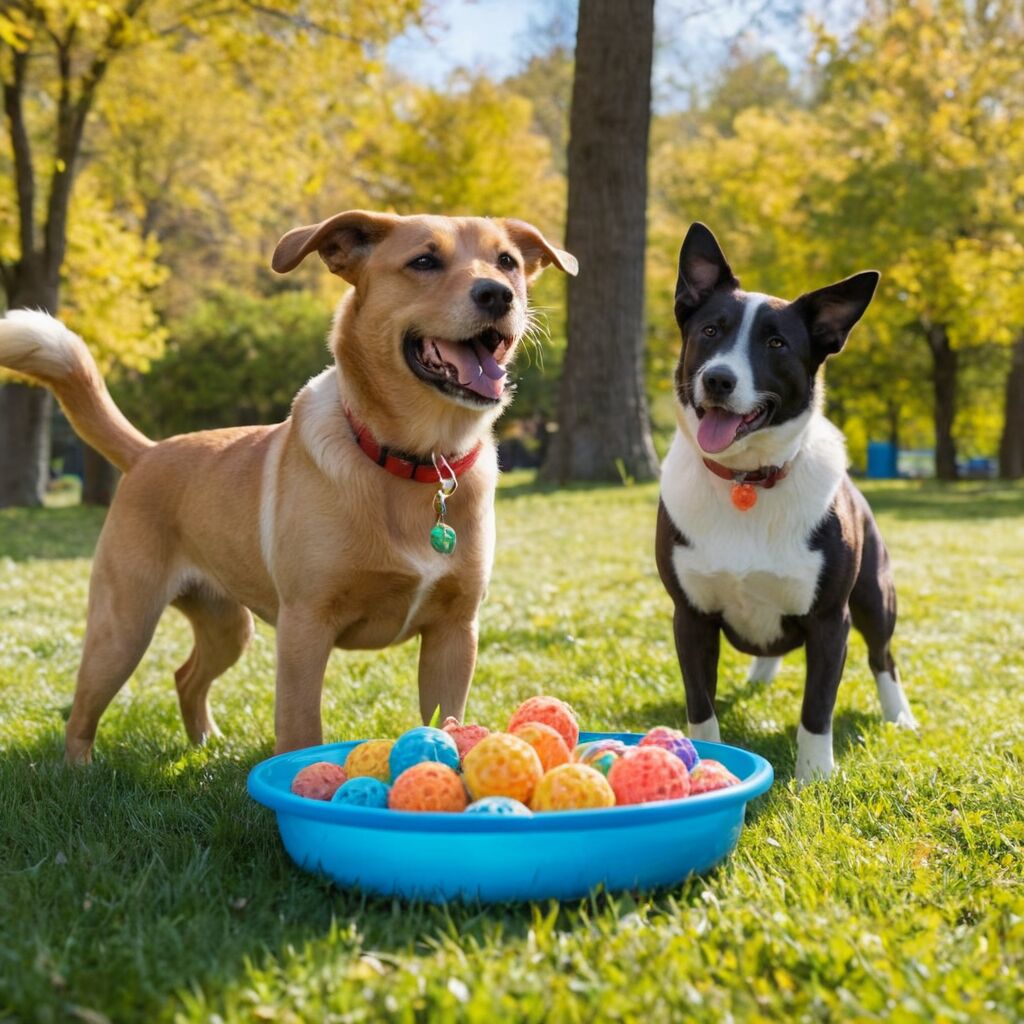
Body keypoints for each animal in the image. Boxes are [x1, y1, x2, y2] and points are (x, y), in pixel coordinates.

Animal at [0, 211, 577, 765]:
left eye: (506, 262)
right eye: (423, 261)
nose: (497, 294)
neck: (418, 461)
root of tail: (148, 451)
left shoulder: (454, 634)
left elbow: (446, 719)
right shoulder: (305, 628)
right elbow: (301, 730)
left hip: (227, 626)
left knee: (186, 676)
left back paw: (206, 744)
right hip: (124, 626)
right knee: (82, 709)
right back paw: (80, 769)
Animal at [655, 226, 921, 782]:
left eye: (776, 343)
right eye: (710, 330)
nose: (718, 379)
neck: (747, 479)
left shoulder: (830, 621)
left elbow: (817, 706)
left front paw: (815, 775)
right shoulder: (689, 616)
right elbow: (700, 704)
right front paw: (708, 761)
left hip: (876, 595)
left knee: (883, 656)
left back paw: (900, 716)